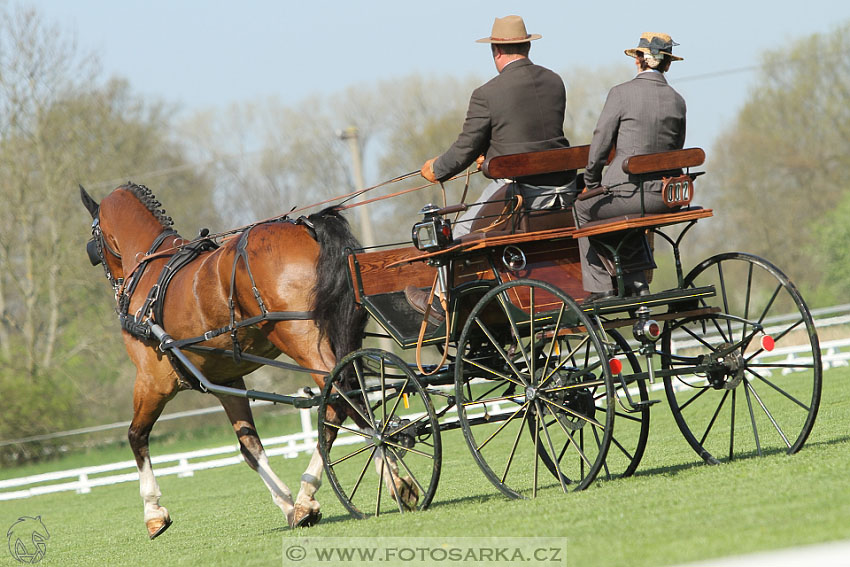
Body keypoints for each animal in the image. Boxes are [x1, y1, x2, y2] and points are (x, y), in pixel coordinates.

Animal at [82, 184, 418, 540]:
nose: (115, 282)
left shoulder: (152, 381)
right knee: (352, 395)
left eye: (94, 235)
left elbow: (136, 436)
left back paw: (356, 482)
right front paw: (286, 504)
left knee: (339, 397)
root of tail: (308, 228)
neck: (152, 273)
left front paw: (154, 513)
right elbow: (250, 448)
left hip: (298, 337)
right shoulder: (227, 382)